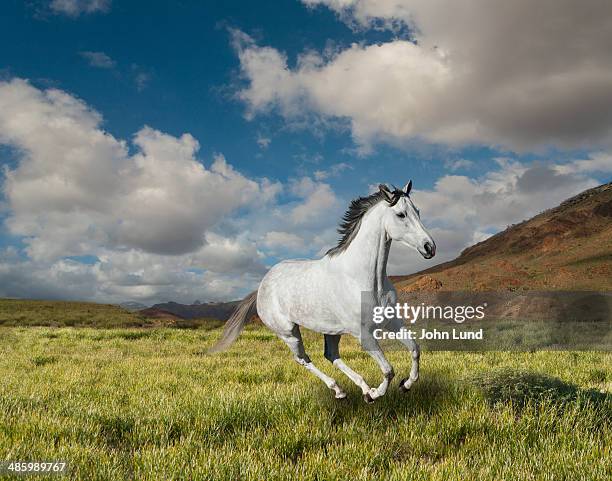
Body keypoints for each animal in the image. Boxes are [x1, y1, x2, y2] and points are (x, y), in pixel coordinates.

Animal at [210, 182, 436, 404]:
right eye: (401, 214)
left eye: (417, 211)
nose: (429, 247)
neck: (364, 279)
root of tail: (261, 287)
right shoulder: (363, 334)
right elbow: (388, 370)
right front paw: (376, 394)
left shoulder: (392, 322)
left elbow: (415, 349)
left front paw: (405, 385)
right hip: (288, 333)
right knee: (303, 359)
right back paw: (341, 389)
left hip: (332, 331)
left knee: (331, 355)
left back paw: (355, 390)